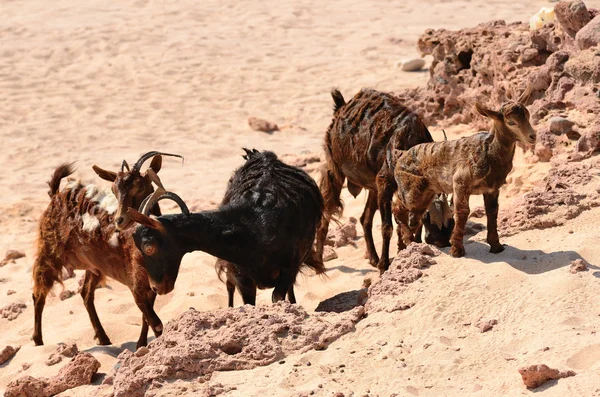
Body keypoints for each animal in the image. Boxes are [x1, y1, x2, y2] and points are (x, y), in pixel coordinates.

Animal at [32, 152, 180, 346]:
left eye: (140, 187)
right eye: (113, 190)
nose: (120, 220)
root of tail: (56, 196)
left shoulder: (152, 287)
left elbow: (146, 318)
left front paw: (141, 344)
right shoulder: (136, 286)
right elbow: (155, 323)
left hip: (94, 265)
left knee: (86, 294)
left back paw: (103, 338)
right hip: (48, 249)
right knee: (39, 294)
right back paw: (38, 341)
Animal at [124, 148, 326, 304]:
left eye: (149, 247)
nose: (156, 288)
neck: (252, 227)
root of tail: (263, 155)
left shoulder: (288, 268)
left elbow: (278, 295)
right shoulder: (241, 275)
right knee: (229, 287)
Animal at [316, 88, 452, 270]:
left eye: (452, 221)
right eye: (430, 219)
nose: (442, 241)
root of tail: (340, 106)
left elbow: (405, 218)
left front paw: (409, 247)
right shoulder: (385, 183)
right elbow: (387, 227)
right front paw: (384, 265)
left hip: (373, 185)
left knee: (365, 218)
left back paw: (373, 257)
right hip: (336, 172)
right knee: (327, 213)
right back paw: (319, 262)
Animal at [390, 86, 536, 256]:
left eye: (528, 116)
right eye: (511, 122)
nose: (532, 136)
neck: (489, 152)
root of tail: (400, 157)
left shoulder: (492, 189)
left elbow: (492, 212)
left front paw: (496, 246)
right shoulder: (460, 184)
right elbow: (462, 212)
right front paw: (456, 250)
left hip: (427, 194)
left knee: (414, 216)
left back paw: (407, 244)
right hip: (411, 191)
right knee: (397, 207)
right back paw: (408, 240)